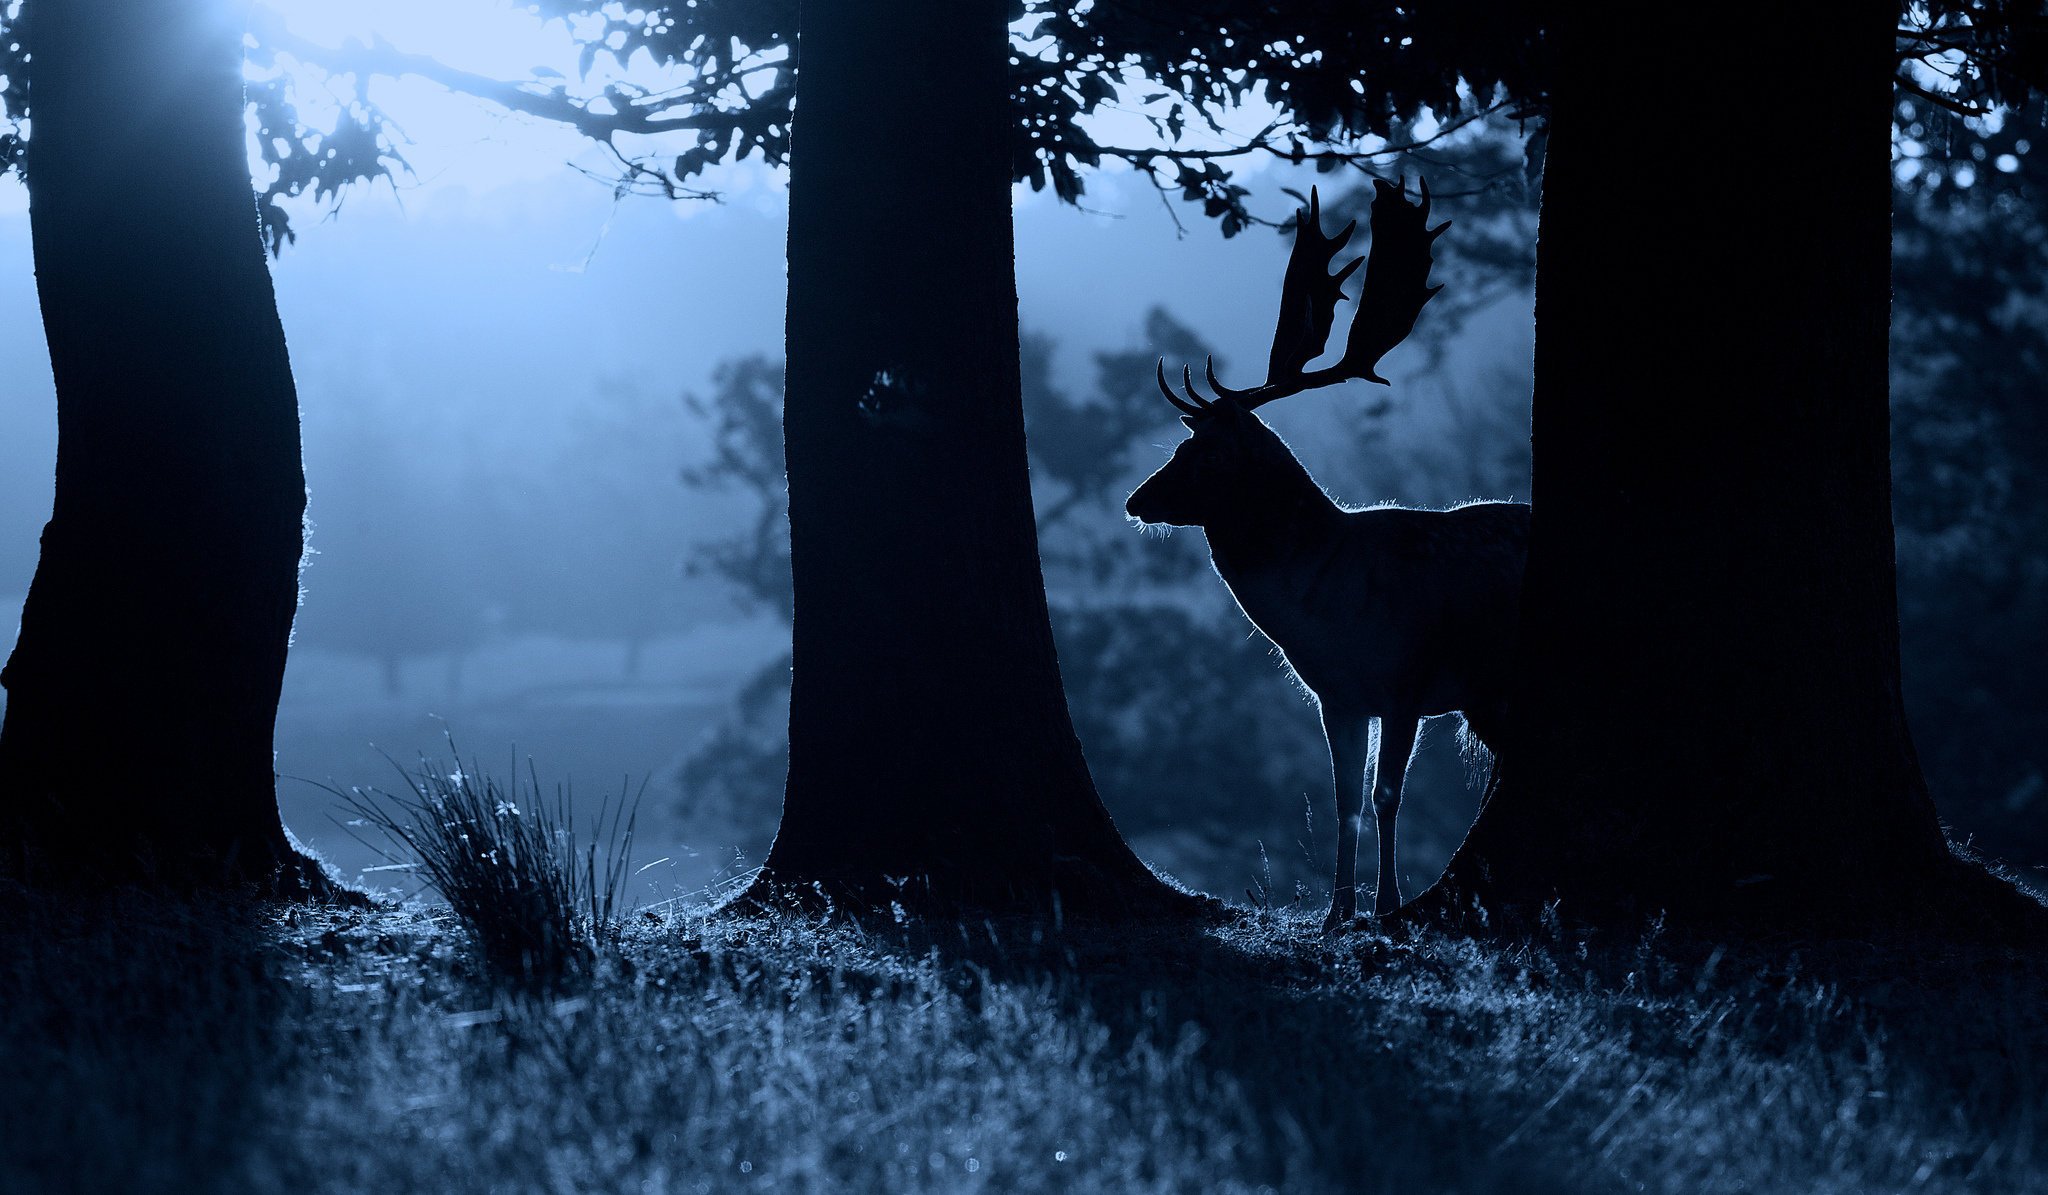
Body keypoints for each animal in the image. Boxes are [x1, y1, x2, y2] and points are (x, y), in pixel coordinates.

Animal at [1125, 179, 1528, 931]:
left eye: (1205, 453)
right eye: (1180, 445)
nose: (1137, 500)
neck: (1329, 609)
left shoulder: (1407, 680)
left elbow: (1386, 796)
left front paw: (1387, 905)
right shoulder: (1335, 697)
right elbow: (1343, 800)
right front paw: (1336, 911)